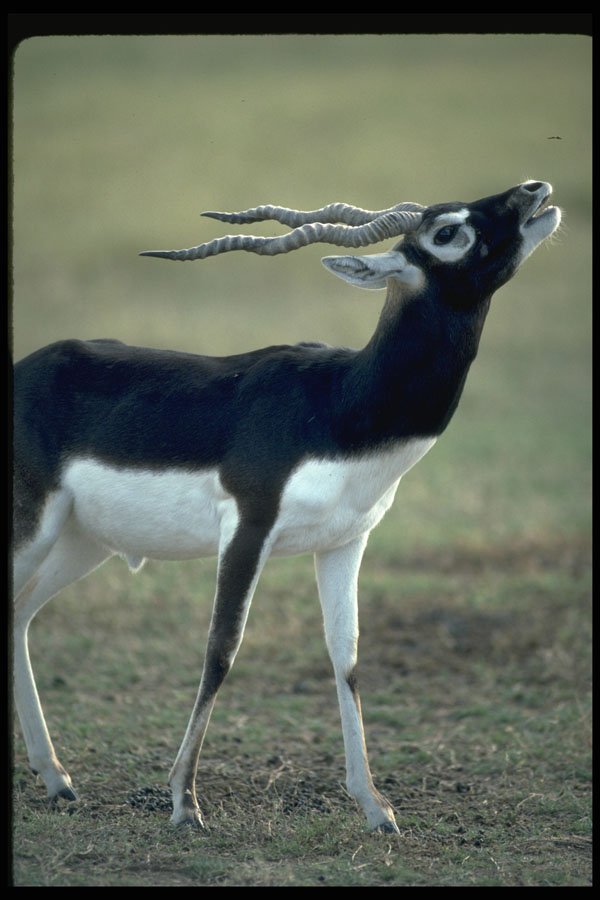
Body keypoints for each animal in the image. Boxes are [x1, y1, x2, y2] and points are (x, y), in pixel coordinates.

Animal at [13, 180, 561, 833]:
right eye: (446, 232)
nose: (533, 190)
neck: (341, 404)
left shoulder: (346, 542)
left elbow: (346, 656)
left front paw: (375, 807)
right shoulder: (250, 526)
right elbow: (222, 648)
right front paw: (184, 801)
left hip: (81, 542)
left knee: (18, 615)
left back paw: (56, 779)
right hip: (33, 528)